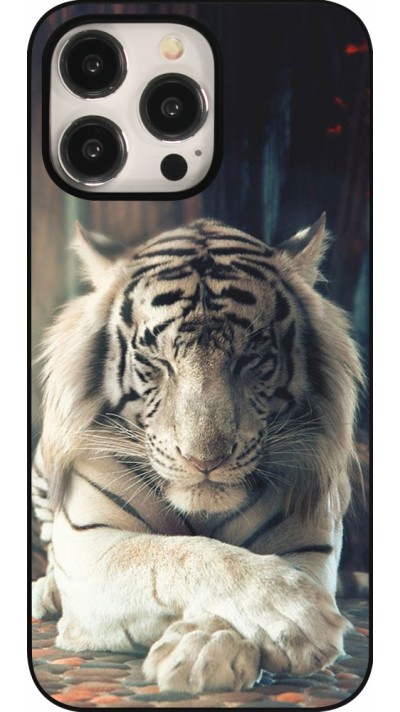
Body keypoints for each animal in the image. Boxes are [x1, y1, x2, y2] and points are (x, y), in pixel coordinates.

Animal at [32, 215, 363, 693]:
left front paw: (206, 649)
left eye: (251, 358)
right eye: (157, 362)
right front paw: (294, 614)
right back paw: (46, 591)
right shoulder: (91, 545)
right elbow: (180, 553)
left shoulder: (309, 544)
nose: (204, 460)